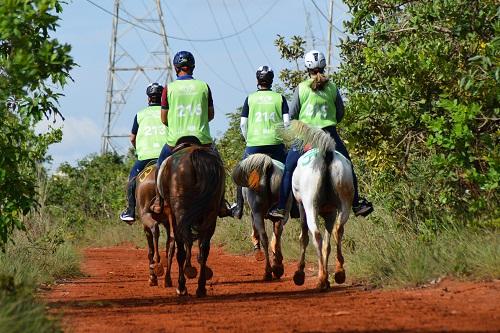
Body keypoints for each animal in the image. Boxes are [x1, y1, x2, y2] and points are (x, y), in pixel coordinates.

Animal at [156, 145, 223, 296]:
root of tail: (196, 153)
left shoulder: (173, 215)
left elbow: (179, 245)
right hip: (211, 212)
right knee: (204, 248)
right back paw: (201, 287)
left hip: (180, 212)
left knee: (181, 248)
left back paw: (182, 286)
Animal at [286, 120, 356, 290]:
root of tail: (326, 154)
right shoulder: (330, 212)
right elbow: (327, 245)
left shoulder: (301, 206)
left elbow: (304, 238)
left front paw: (300, 273)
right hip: (345, 204)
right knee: (338, 230)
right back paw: (339, 272)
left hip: (310, 206)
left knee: (316, 235)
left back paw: (321, 278)